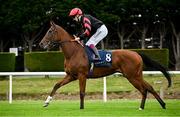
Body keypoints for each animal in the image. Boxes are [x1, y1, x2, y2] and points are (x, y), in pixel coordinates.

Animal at [38, 20, 171, 109]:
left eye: (50, 31)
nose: (41, 44)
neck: (73, 52)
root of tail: (136, 53)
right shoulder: (71, 76)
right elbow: (56, 85)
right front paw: (46, 102)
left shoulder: (82, 75)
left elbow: (82, 92)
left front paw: (81, 108)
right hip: (136, 75)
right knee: (148, 88)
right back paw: (158, 105)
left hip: (133, 76)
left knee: (144, 89)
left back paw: (148, 106)